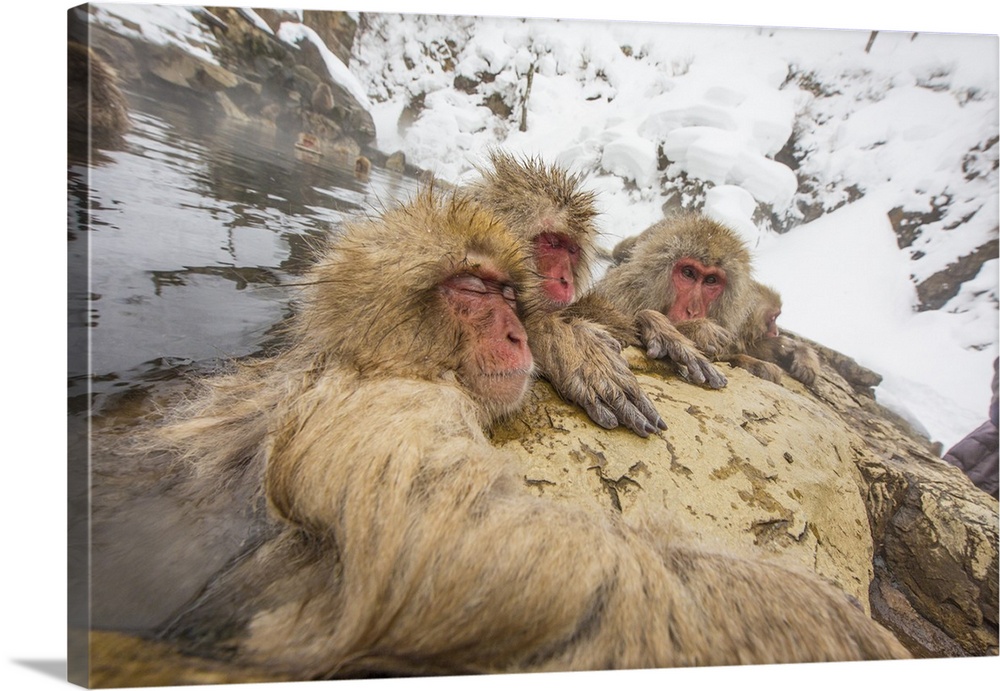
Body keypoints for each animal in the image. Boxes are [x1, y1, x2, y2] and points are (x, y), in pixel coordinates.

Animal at [90, 191, 912, 680]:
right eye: (473, 291)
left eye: (712, 280)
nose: (518, 328)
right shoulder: (383, 408)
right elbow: (456, 549)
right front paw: (817, 622)